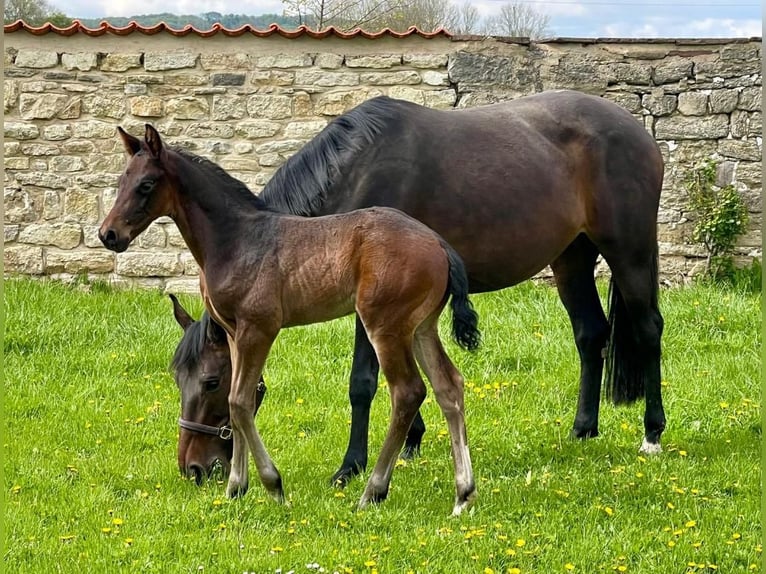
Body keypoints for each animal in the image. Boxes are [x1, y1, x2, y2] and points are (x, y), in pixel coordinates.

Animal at [102, 126, 484, 516]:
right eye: (121, 181)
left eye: (146, 184)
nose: (109, 234)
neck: (236, 240)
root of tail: (439, 243)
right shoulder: (233, 332)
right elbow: (237, 403)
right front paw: (236, 487)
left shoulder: (258, 328)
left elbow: (239, 401)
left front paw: (272, 486)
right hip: (421, 328)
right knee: (449, 386)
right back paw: (463, 494)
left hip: (385, 327)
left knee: (408, 392)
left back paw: (373, 491)